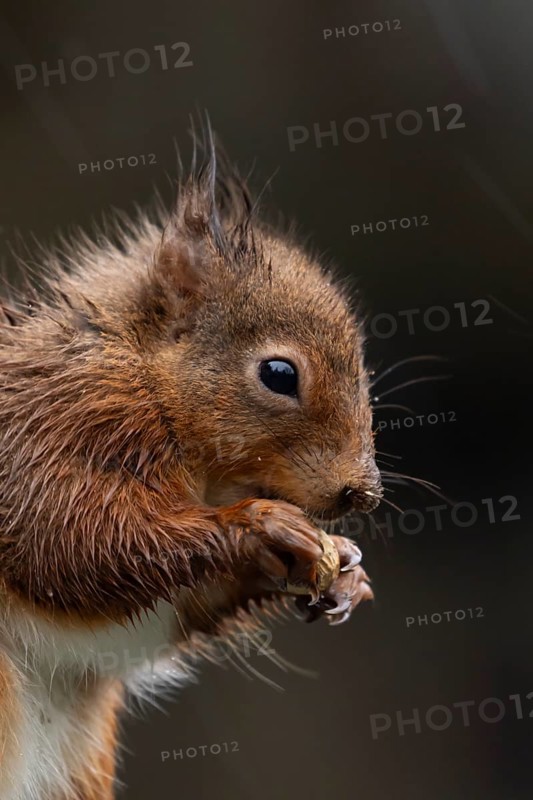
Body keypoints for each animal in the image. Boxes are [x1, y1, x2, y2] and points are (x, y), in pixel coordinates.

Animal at [0, 125, 382, 800]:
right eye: (279, 374)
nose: (362, 492)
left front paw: (342, 572)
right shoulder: (52, 430)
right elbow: (72, 542)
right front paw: (258, 526)